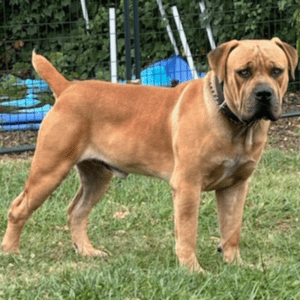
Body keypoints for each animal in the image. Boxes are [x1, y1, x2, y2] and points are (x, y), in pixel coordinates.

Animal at [1, 38, 298, 272]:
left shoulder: (236, 186)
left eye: (277, 71)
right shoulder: (188, 186)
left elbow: (232, 228)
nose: (264, 94)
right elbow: (188, 232)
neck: (235, 124)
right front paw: (193, 270)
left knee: (76, 211)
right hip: (50, 169)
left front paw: (235, 264)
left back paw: (87, 251)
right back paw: (11, 252)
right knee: (19, 208)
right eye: (243, 72)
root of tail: (68, 88)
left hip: (97, 177)